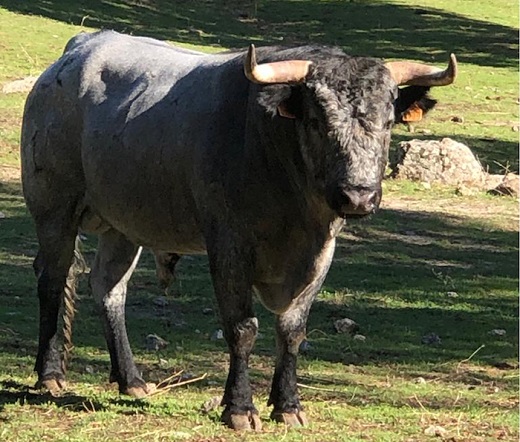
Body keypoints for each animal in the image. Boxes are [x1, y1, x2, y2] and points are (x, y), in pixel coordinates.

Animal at [20, 31, 456, 432]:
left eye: (388, 122)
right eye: (317, 121)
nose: (358, 196)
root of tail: (81, 47)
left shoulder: (321, 253)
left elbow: (292, 330)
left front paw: (288, 405)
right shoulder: (229, 245)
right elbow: (242, 328)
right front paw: (240, 408)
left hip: (123, 224)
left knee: (109, 288)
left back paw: (131, 380)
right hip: (54, 208)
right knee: (53, 279)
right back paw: (50, 373)